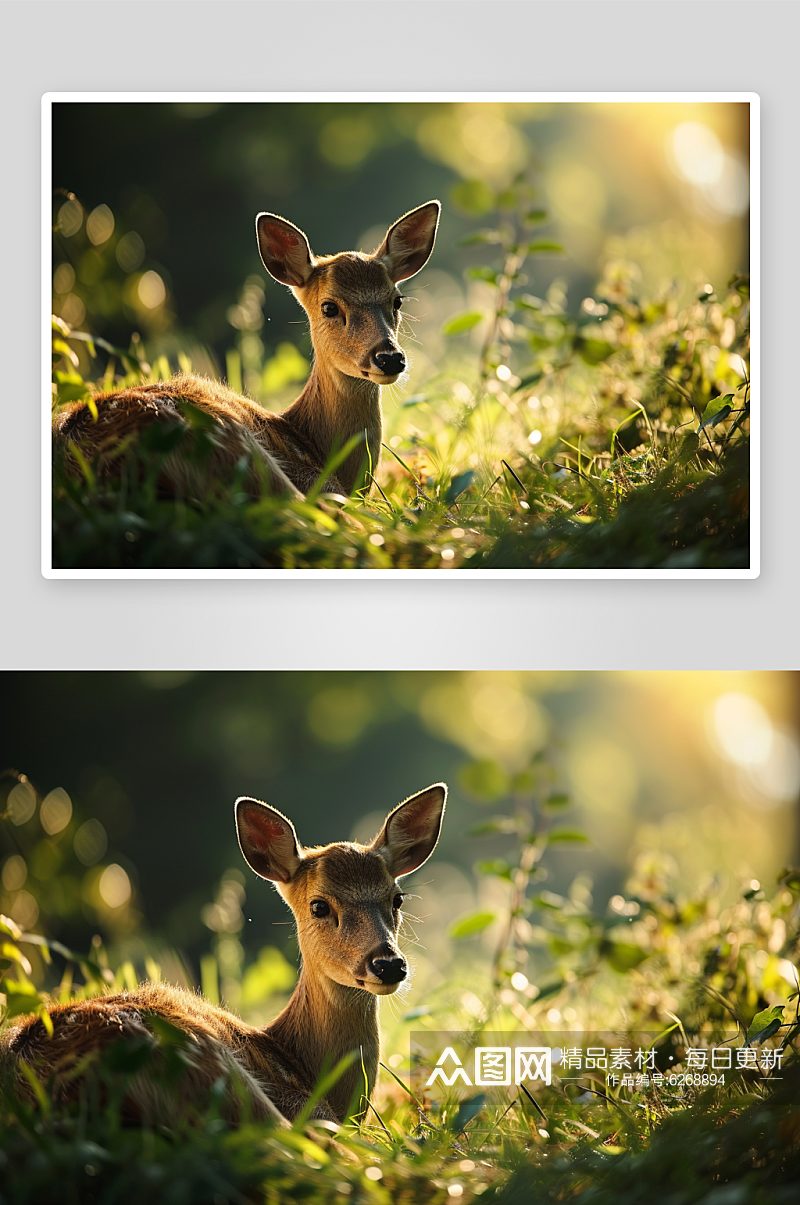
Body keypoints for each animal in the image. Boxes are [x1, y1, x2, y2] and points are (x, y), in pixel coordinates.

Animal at [0, 780, 445, 1127]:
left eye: (397, 899)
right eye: (319, 906)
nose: (388, 964)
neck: (300, 1062)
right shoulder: (304, 1107)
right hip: (211, 1064)